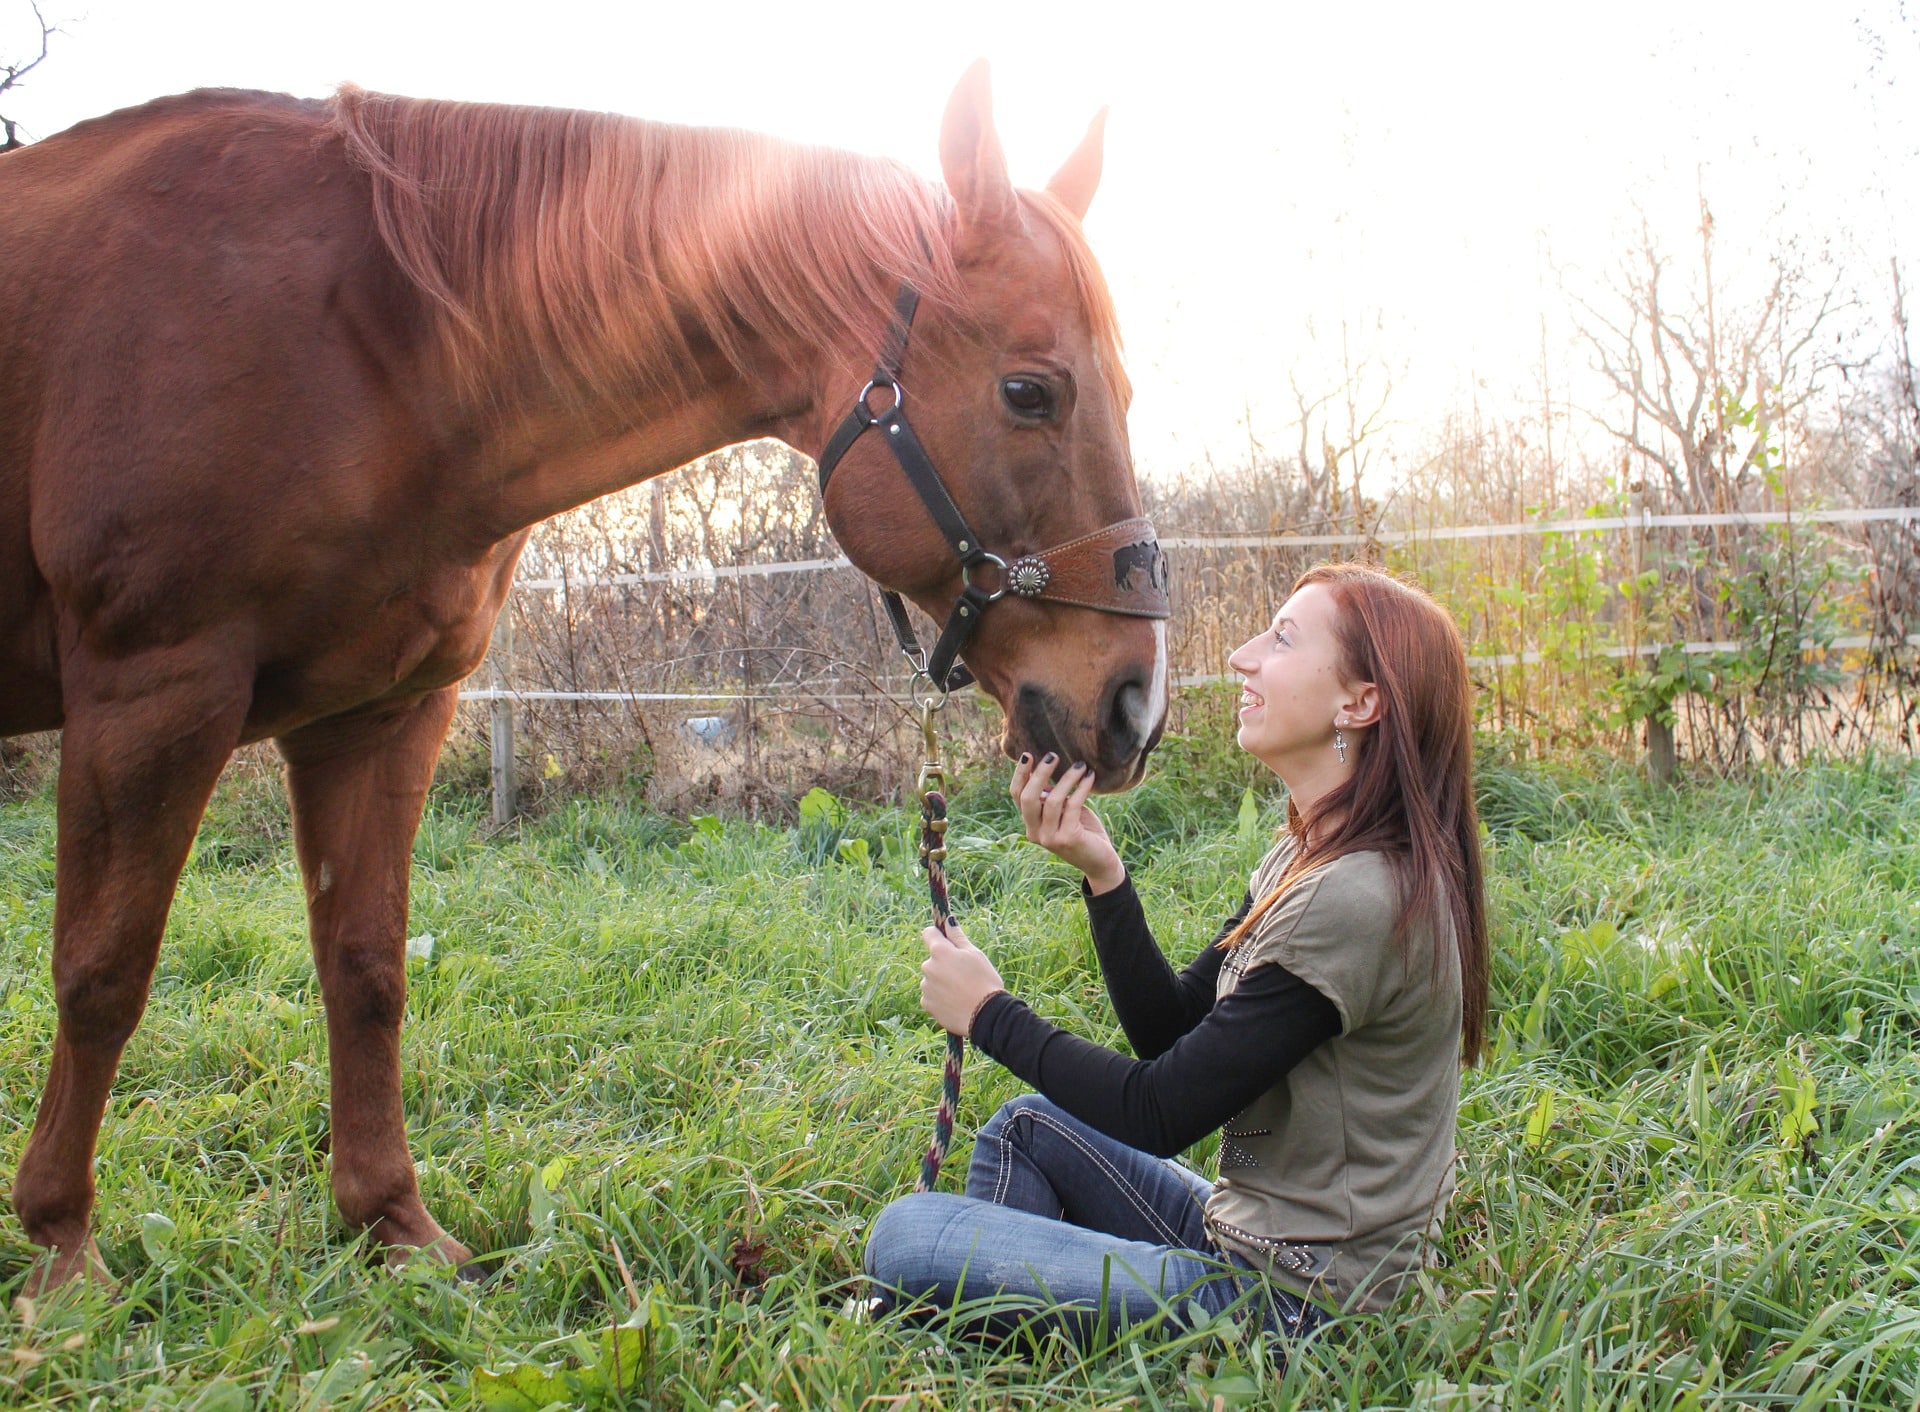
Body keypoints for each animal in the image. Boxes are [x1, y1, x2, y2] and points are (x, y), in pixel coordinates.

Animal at [0, 60, 1167, 1283]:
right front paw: (64, 1252)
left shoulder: (380, 714)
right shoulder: (151, 695)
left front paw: (395, 1226)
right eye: (1030, 391)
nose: (1136, 703)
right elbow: (101, 974)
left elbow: (366, 967)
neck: (376, 351)